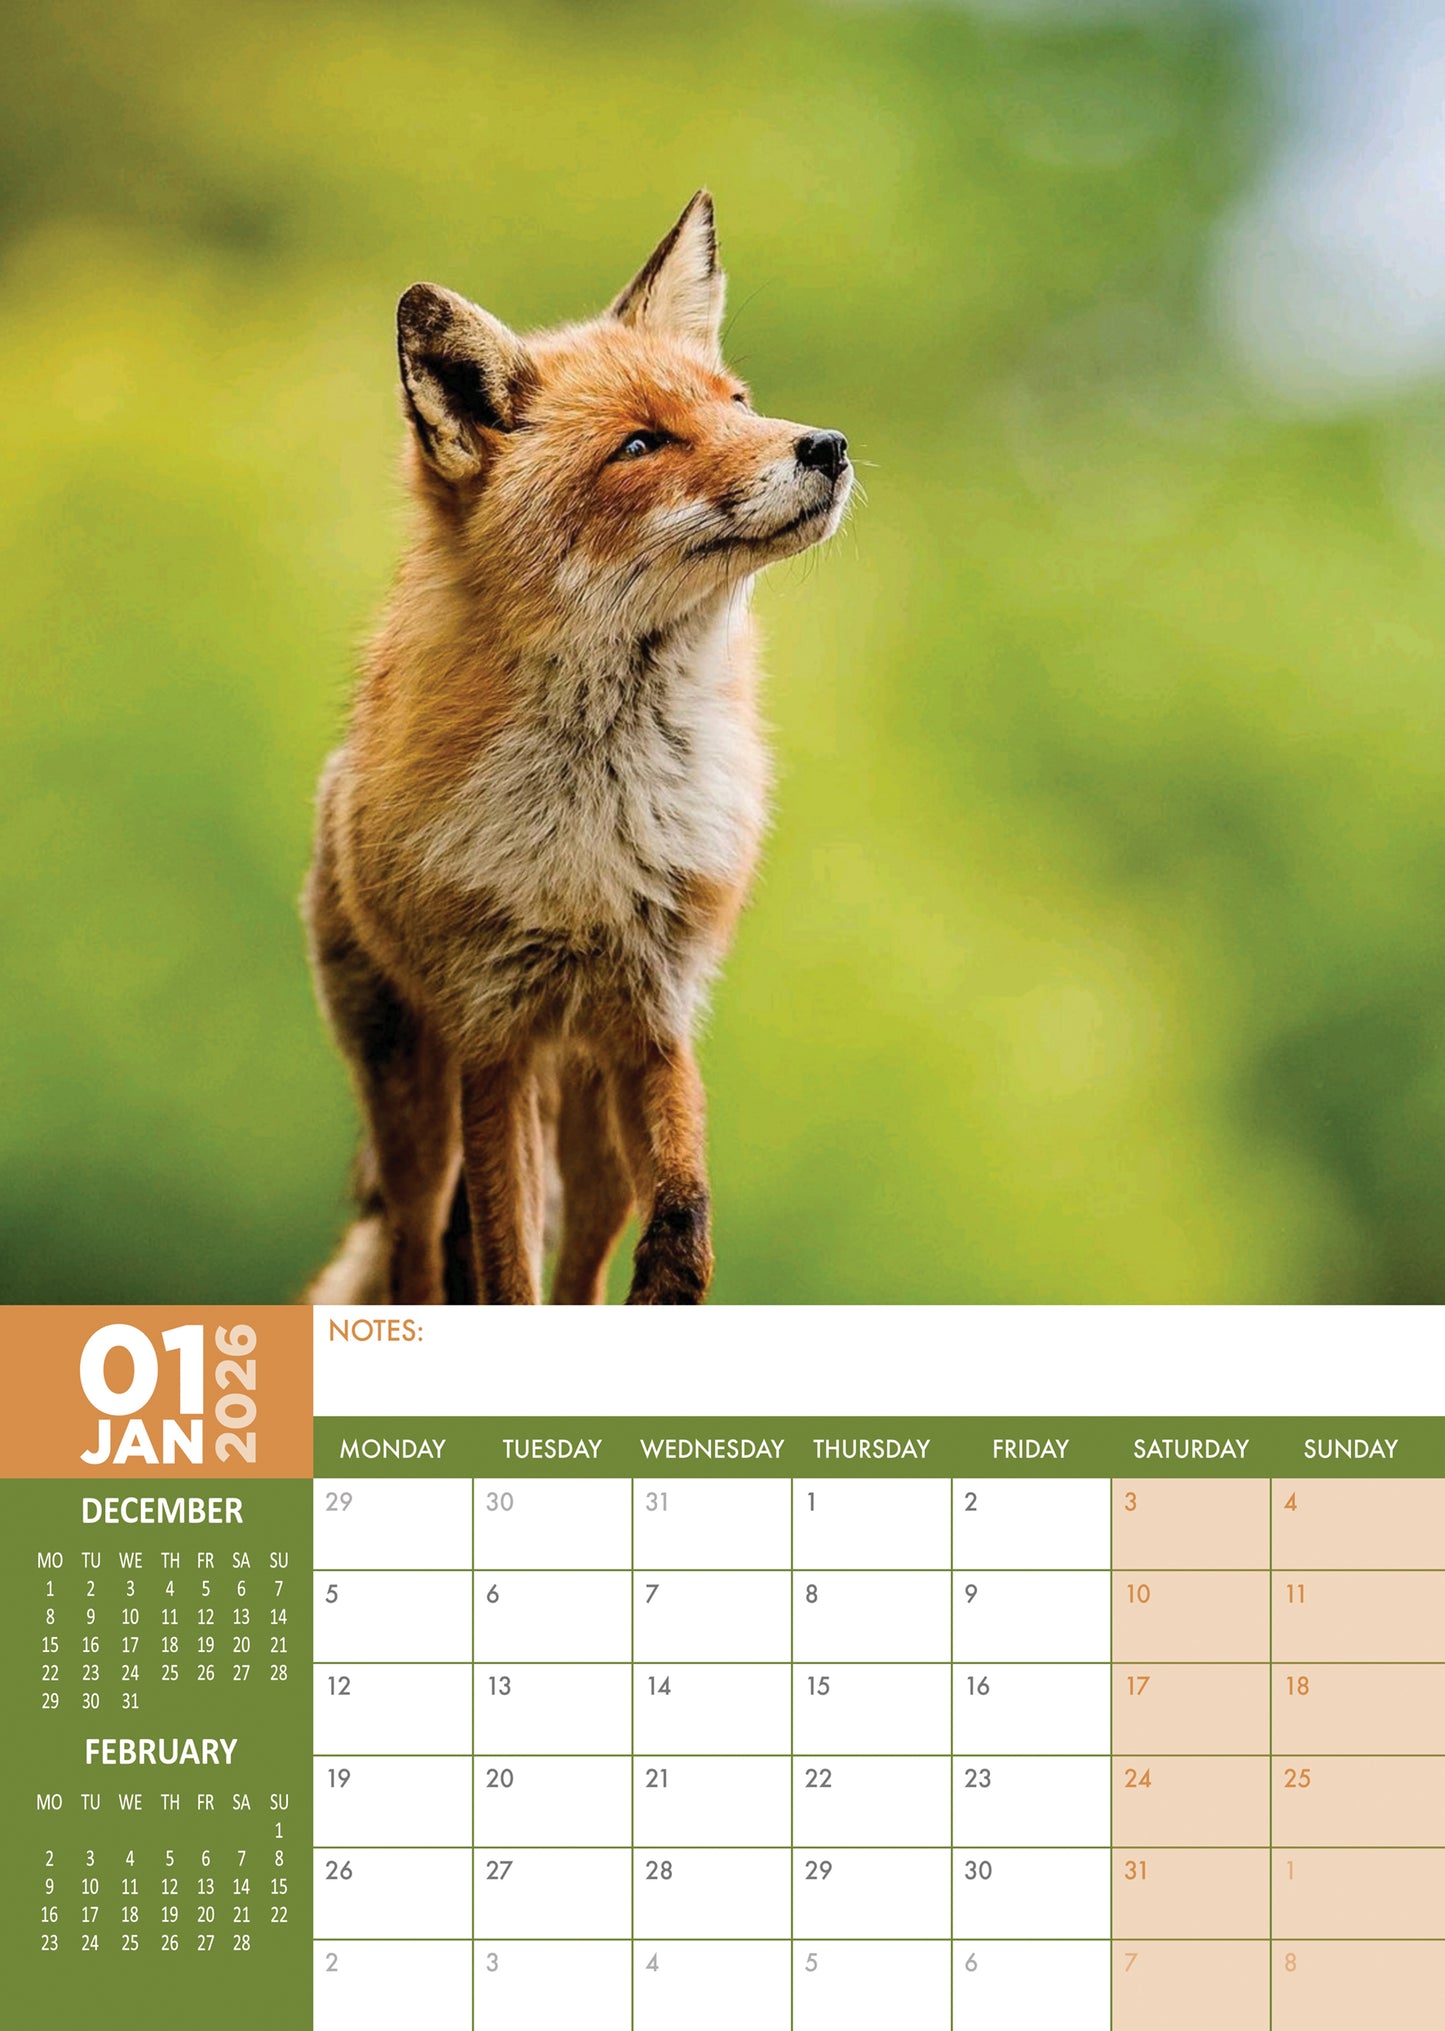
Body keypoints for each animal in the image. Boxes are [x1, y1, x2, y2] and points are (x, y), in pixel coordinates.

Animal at [304, 191, 852, 1306]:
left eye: (739, 403)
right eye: (640, 445)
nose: (826, 446)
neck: (594, 833)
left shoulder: (650, 1014)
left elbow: (682, 1205)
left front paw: (673, 1279)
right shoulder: (492, 1035)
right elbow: (502, 1266)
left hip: (588, 1114)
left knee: (586, 1259)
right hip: (415, 1099)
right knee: (423, 1247)